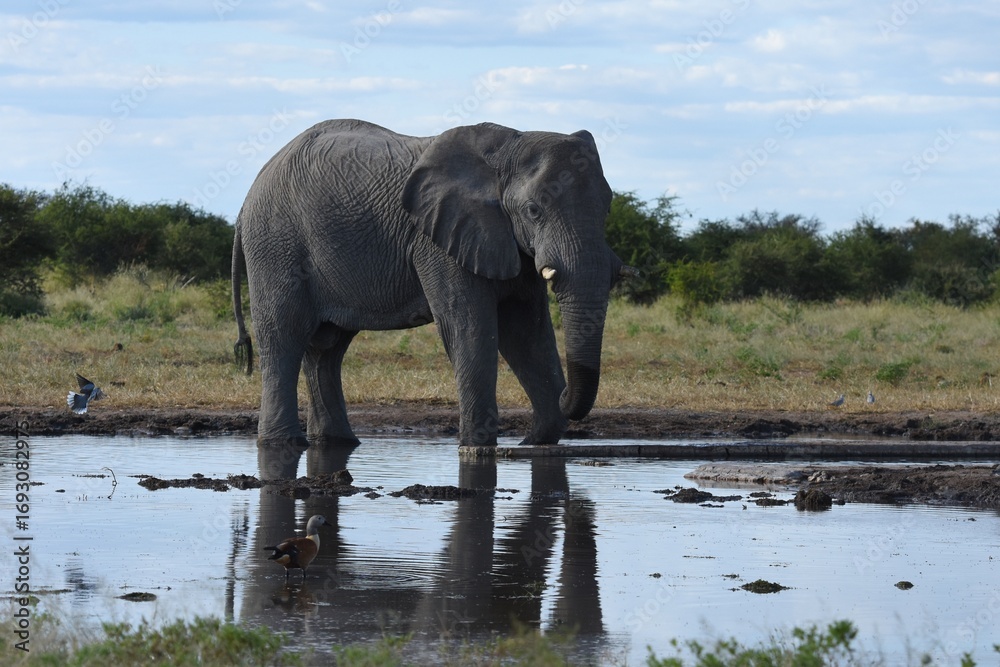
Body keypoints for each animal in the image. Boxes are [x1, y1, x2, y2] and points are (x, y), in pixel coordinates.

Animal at [232, 119, 631, 449]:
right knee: (284, 335)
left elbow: (526, 332)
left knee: (326, 349)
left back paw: (338, 443)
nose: (565, 394)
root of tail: (249, 193)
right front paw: (476, 448)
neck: (509, 146)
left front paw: (536, 441)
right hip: (275, 243)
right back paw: (282, 444)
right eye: (534, 210)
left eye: (607, 207)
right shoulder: (438, 241)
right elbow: (468, 327)